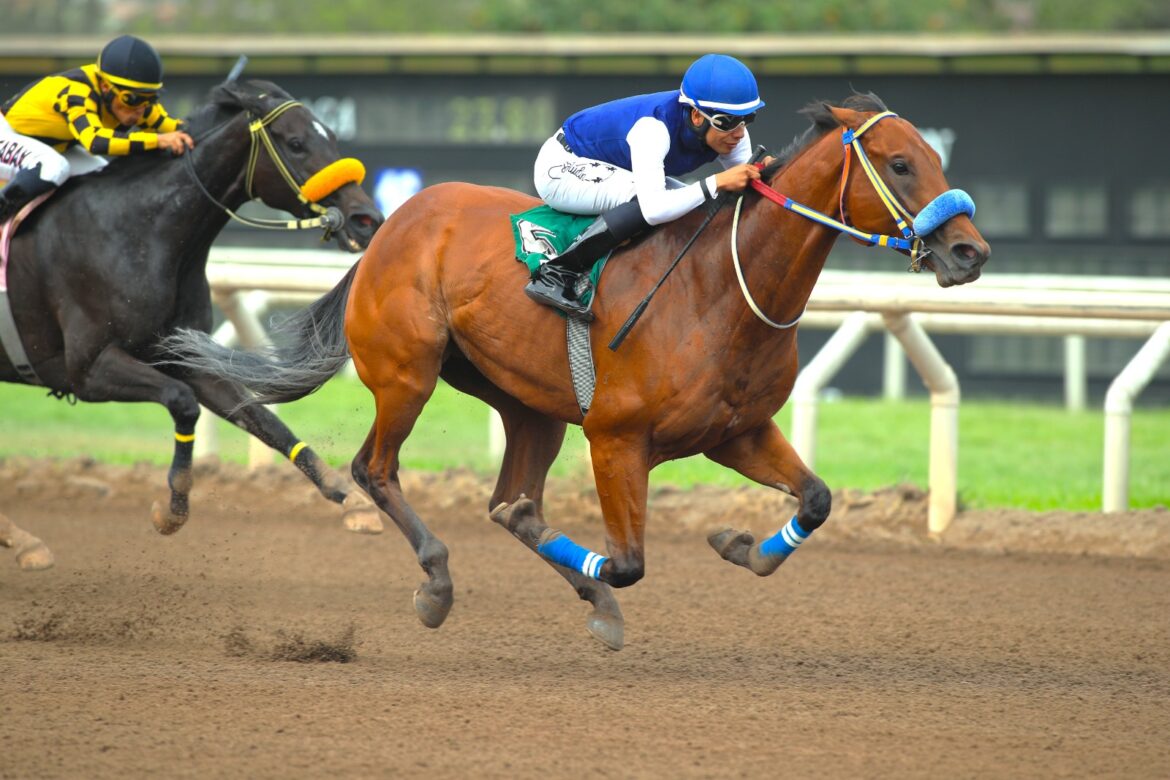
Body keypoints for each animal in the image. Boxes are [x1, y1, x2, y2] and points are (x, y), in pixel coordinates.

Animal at [0, 79, 383, 570]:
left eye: (333, 136)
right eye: (296, 143)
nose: (366, 219)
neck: (141, 231)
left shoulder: (187, 356)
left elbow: (264, 420)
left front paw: (351, 499)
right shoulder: (86, 369)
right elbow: (183, 402)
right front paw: (172, 509)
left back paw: (22, 539)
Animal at [162, 94, 987, 650]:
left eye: (938, 158)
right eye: (901, 163)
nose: (970, 252)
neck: (720, 287)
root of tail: (394, 223)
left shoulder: (737, 431)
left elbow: (815, 500)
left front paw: (736, 544)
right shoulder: (617, 438)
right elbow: (627, 562)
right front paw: (607, 586)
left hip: (529, 403)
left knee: (505, 501)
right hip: (408, 373)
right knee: (376, 469)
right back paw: (437, 582)